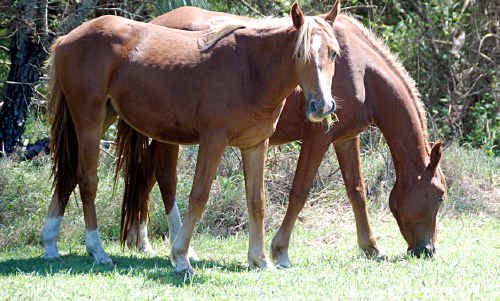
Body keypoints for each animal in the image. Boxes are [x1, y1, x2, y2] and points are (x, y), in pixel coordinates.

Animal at [41, 2, 342, 274]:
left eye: (334, 53)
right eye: (300, 53)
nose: (322, 106)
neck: (250, 69)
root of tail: (66, 40)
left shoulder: (255, 145)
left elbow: (257, 200)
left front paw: (259, 260)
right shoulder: (213, 141)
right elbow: (199, 196)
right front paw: (181, 257)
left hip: (103, 118)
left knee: (69, 174)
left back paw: (50, 245)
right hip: (89, 121)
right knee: (87, 180)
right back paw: (98, 251)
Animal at [119, 5, 448, 266]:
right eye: (439, 196)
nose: (428, 250)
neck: (361, 68)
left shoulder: (345, 139)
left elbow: (357, 192)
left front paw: (370, 247)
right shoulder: (319, 138)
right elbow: (299, 192)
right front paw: (279, 251)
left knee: (147, 179)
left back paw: (144, 242)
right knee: (166, 180)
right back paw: (177, 248)